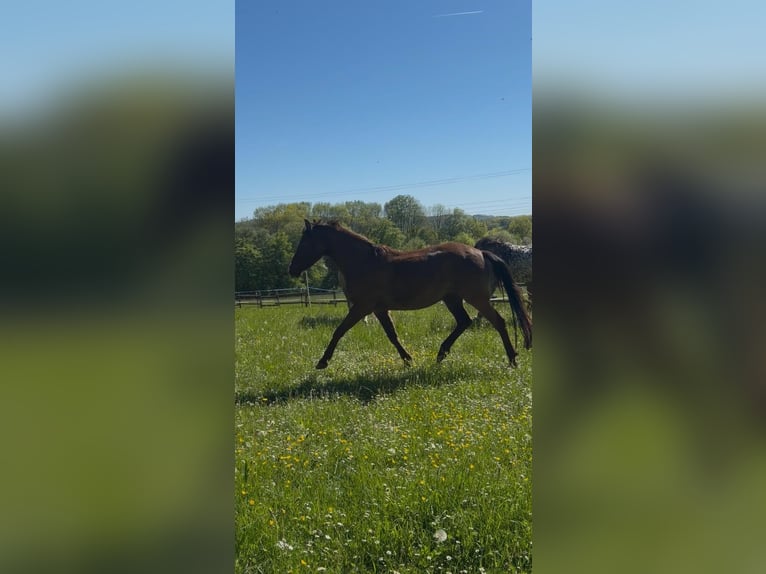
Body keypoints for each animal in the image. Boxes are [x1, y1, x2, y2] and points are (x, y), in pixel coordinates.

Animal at [288, 220, 532, 369]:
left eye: (304, 242)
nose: (292, 269)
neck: (364, 262)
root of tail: (482, 253)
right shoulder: (379, 309)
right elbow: (392, 335)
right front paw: (408, 360)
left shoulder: (362, 307)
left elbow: (339, 331)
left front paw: (323, 361)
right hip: (452, 299)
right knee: (465, 322)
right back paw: (441, 354)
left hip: (476, 298)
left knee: (498, 322)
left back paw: (512, 359)